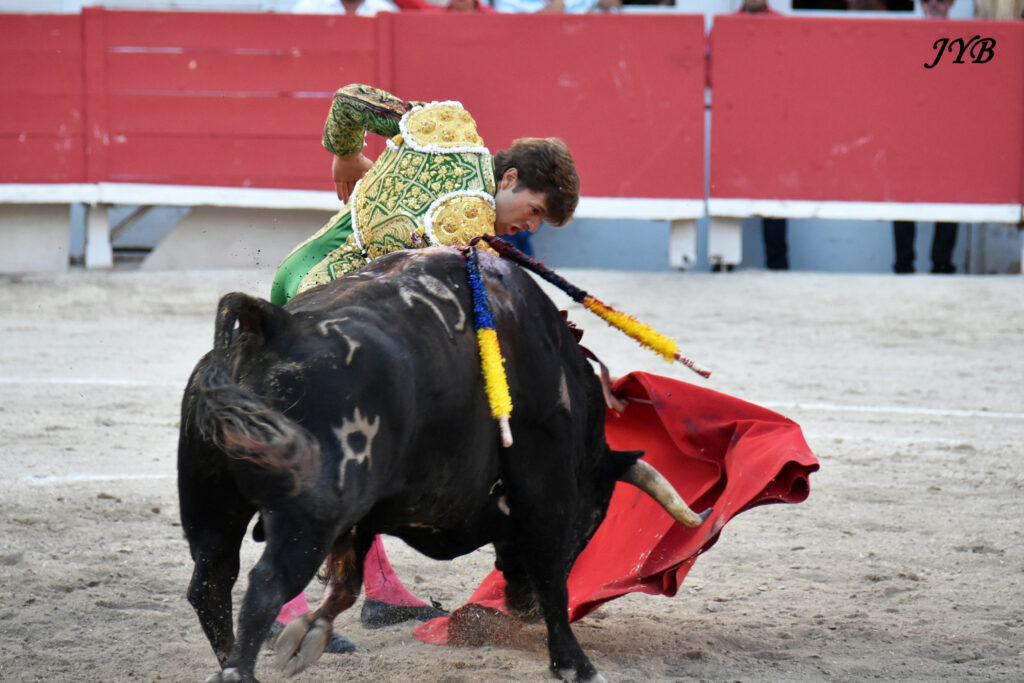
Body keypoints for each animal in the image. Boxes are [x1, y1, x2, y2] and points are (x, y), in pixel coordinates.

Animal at [177, 246, 709, 683]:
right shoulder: (549, 496)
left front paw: (306, 639)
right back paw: (238, 672)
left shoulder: (362, 516)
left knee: (211, 581)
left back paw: (227, 662)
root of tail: (273, 325)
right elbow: (553, 580)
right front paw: (575, 664)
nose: (522, 609)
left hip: (212, 505)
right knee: (264, 586)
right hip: (308, 517)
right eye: (594, 518)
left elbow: (347, 583)